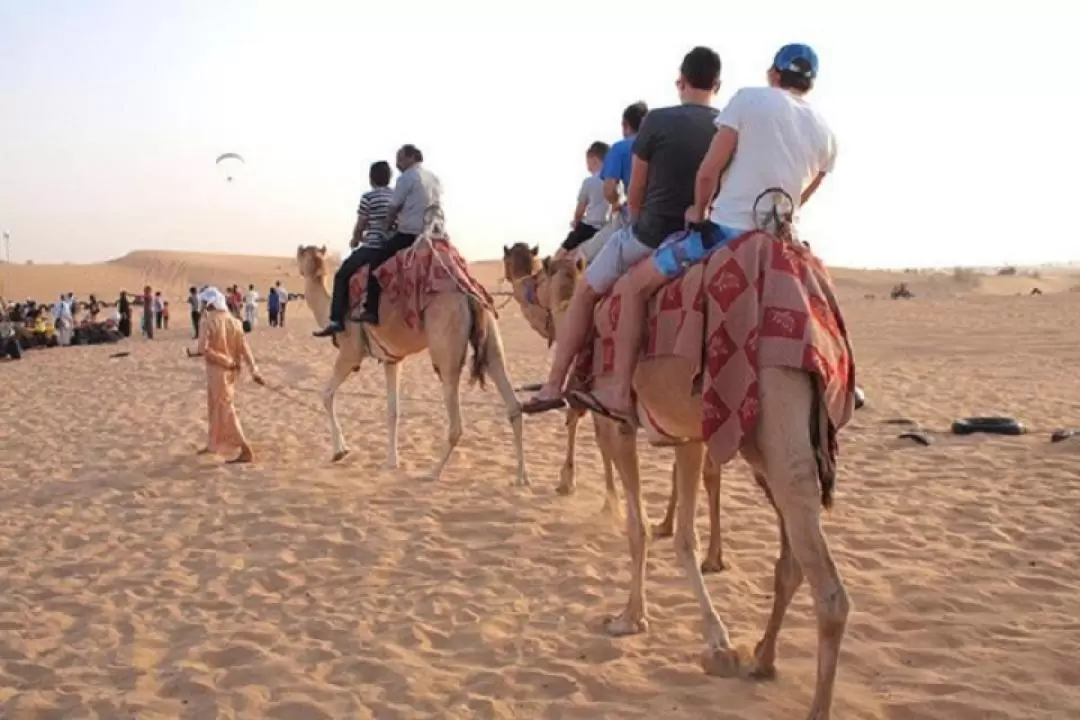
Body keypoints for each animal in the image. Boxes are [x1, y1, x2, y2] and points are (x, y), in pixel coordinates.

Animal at [298, 240, 529, 483]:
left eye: (301, 255)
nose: (299, 250)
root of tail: (468, 293)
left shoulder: (350, 352)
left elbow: (326, 395)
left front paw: (339, 451)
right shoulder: (392, 360)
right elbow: (393, 411)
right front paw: (392, 462)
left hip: (445, 343)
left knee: (455, 420)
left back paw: (432, 472)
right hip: (489, 337)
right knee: (511, 400)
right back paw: (521, 477)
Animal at [498, 245, 721, 569]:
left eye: (539, 272)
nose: (528, 283)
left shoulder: (600, 403)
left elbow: (592, 436)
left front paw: (587, 493)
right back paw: (696, 544)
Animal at [548, 234, 851, 716]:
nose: (546, 288)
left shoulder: (617, 423)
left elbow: (638, 528)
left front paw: (630, 618)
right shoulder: (688, 438)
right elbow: (683, 537)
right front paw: (719, 643)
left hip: (776, 419)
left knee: (830, 591)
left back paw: (811, 703)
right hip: (775, 441)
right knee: (791, 563)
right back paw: (762, 659)